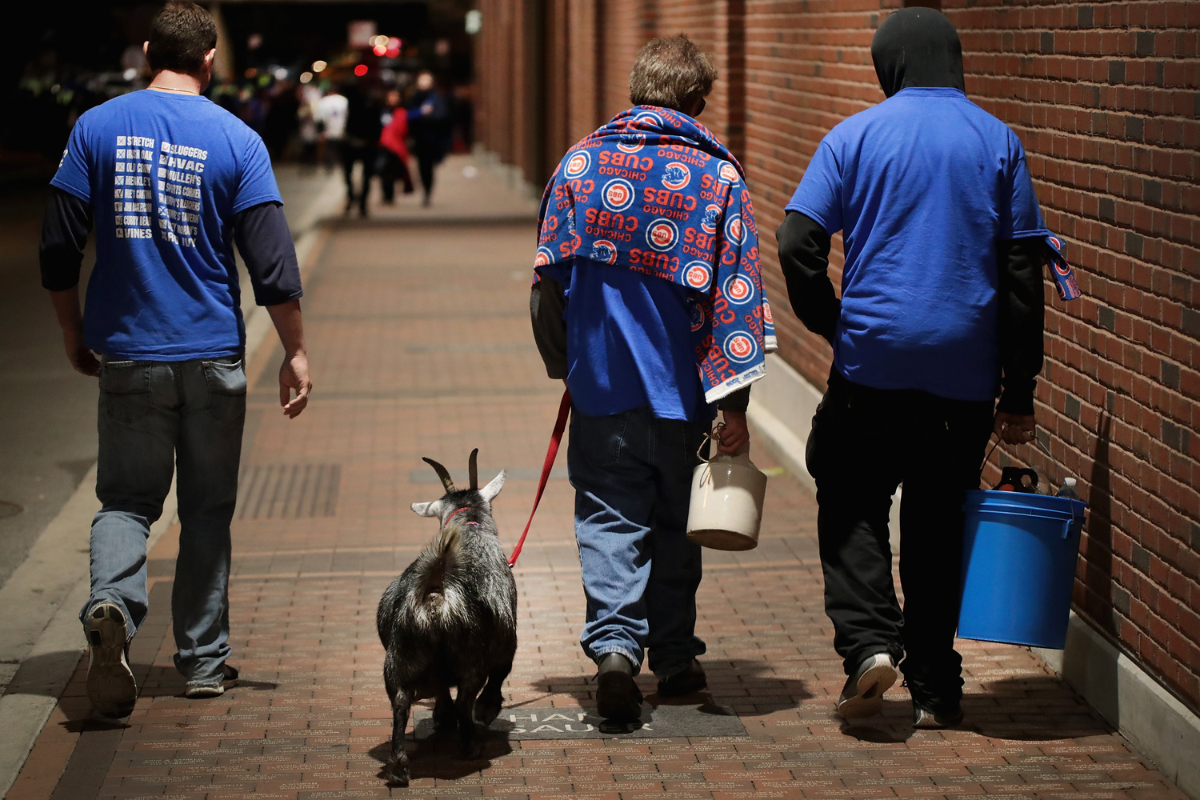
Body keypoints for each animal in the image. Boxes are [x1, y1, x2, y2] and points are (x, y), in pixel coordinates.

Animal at [374, 450, 516, 786]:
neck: (469, 525)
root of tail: (435, 592)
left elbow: (439, 689)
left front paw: (441, 716)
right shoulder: (508, 639)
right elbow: (501, 672)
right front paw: (487, 709)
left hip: (400, 654)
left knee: (400, 701)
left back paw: (399, 767)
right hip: (470, 654)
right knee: (466, 697)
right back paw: (471, 744)